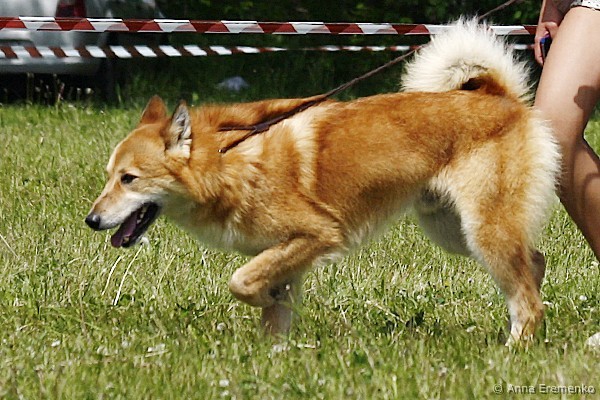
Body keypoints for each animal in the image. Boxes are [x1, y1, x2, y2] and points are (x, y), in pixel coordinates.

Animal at [85, 20, 561, 344]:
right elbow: (272, 317)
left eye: (129, 179)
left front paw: (264, 304)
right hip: (453, 230)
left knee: (527, 298)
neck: (229, 162)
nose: (91, 220)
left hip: (482, 229)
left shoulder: (316, 234)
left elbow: (241, 283)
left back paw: (514, 348)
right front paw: (271, 360)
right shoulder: (284, 252)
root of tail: (499, 96)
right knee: (534, 264)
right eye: (109, 176)